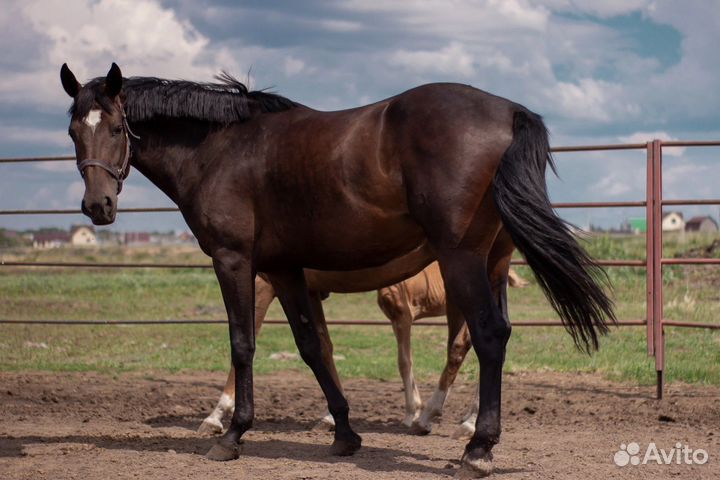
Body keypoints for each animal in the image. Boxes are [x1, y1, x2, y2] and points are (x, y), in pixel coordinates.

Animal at [198, 263, 528, 436]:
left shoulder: (264, 279)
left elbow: (246, 339)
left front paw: (217, 413)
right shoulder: (310, 288)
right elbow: (324, 345)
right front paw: (333, 415)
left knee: (470, 342)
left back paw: (445, 418)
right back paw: (467, 419)